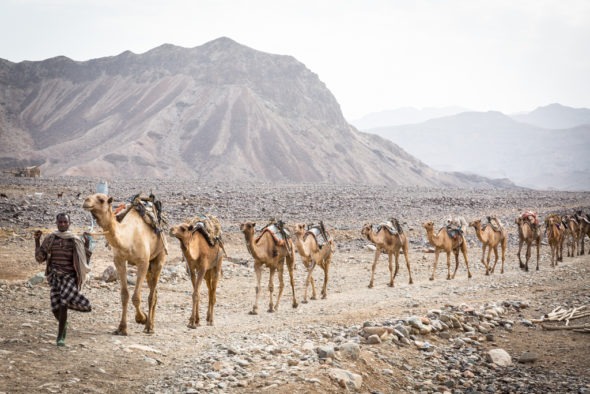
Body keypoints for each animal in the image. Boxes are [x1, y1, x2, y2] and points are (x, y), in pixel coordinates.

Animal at [82, 194, 168, 336]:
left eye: (101, 200)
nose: (86, 201)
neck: (128, 238)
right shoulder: (119, 261)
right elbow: (124, 295)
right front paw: (122, 328)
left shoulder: (143, 262)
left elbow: (136, 297)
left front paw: (141, 318)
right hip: (150, 267)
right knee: (154, 292)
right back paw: (151, 325)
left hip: (159, 258)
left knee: (151, 295)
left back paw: (149, 327)